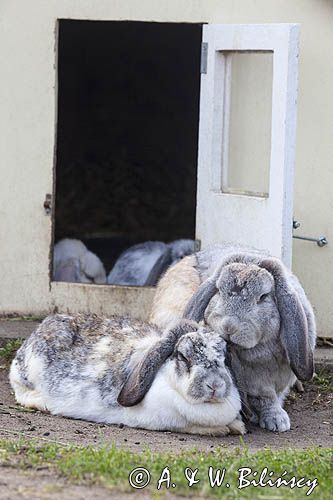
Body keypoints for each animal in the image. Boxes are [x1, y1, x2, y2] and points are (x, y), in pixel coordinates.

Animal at [8, 316, 244, 438]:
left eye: (224, 357)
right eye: (183, 357)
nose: (214, 385)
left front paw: (237, 426)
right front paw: (224, 428)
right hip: (30, 370)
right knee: (21, 391)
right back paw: (42, 403)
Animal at [149, 244, 316, 432]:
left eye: (263, 297)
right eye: (219, 291)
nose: (229, 326)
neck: (258, 352)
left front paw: (277, 421)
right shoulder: (256, 383)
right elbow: (265, 397)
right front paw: (275, 421)